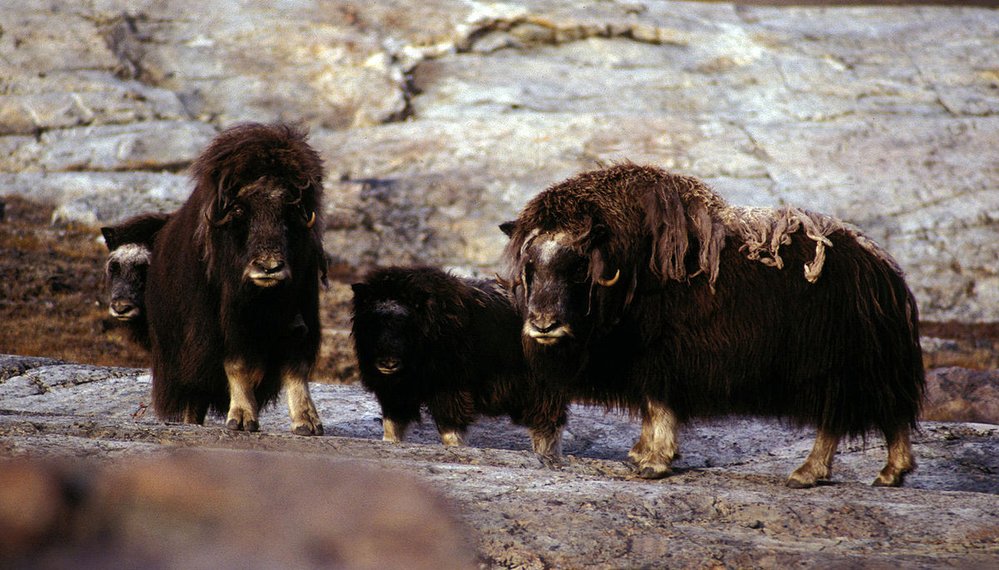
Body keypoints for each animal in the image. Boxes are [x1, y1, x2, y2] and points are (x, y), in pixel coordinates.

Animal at [146, 123, 326, 434]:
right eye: (241, 210)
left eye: (290, 210)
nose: (269, 267)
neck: (264, 301)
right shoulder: (225, 328)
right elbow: (237, 366)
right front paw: (241, 419)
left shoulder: (300, 318)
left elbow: (296, 367)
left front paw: (308, 422)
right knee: (195, 397)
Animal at [352, 266, 564, 452]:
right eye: (372, 322)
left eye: (407, 323)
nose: (388, 363)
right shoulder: (393, 394)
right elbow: (391, 426)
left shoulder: (450, 390)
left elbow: (450, 430)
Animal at [504, 162, 924, 486]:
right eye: (530, 266)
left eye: (577, 268)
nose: (543, 325)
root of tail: (885, 270)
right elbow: (650, 409)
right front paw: (640, 454)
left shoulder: (662, 358)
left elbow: (658, 406)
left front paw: (653, 462)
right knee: (883, 413)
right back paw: (885, 474)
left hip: (836, 368)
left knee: (843, 418)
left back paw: (812, 473)